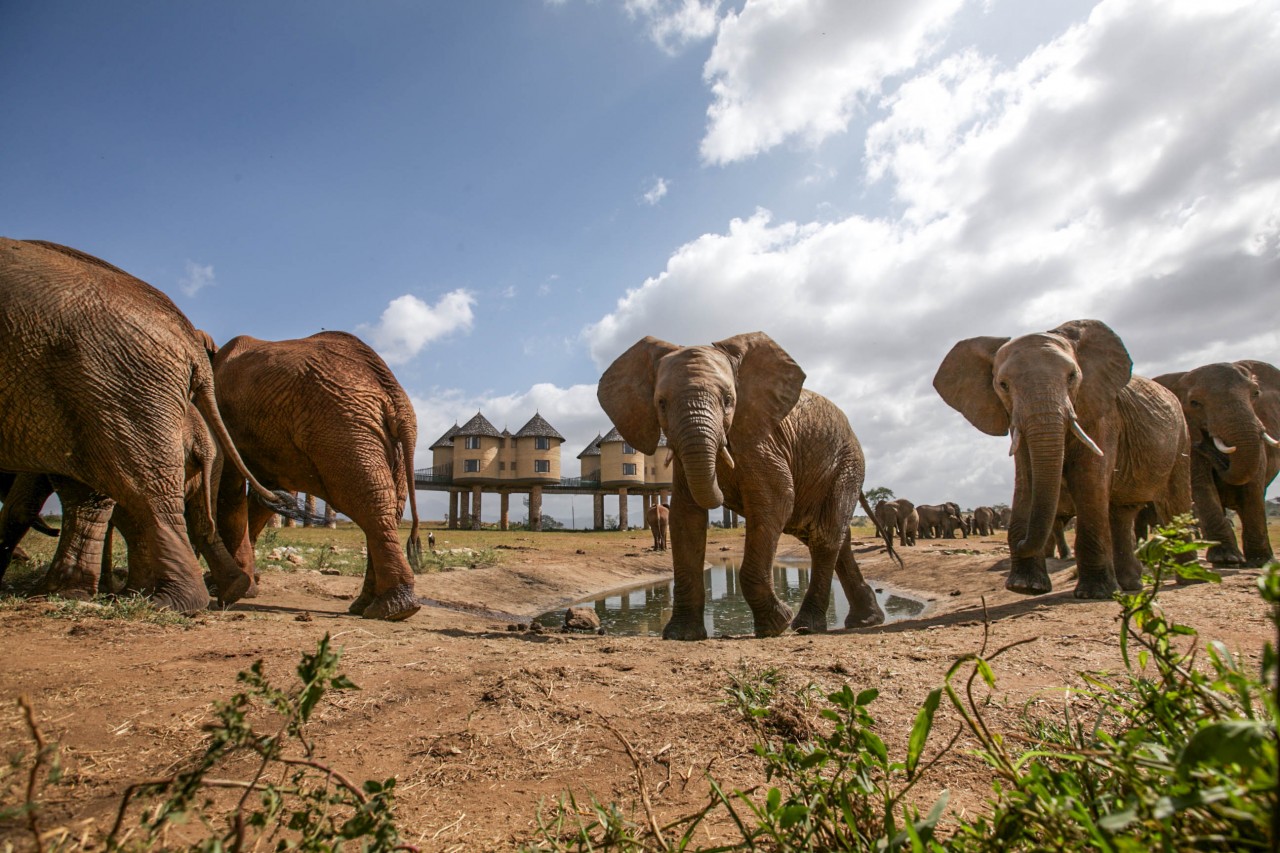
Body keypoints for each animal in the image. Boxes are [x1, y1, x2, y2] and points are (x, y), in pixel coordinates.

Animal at [212, 330, 422, 617]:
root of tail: (396, 395)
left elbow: (231, 487)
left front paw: (228, 587)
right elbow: (266, 494)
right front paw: (242, 584)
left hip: (341, 425)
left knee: (370, 503)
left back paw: (390, 609)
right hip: (370, 434)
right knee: (386, 507)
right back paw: (376, 607)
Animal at [601, 333, 890, 637]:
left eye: (728, 400)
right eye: (661, 403)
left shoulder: (763, 441)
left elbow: (775, 501)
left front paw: (776, 625)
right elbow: (685, 516)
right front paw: (681, 635)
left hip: (848, 464)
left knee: (825, 533)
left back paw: (806, 625)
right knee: (830, 536)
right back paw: (865, 620)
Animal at [936, 315, 1192, 594]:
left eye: (1072, 376)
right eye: (1003, 385)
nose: (1019, 541)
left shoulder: (1103, 414)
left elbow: (1089, 480)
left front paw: (1094, 593)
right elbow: (1027, 481)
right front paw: (1026, 587)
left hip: (1181, 437)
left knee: (1173, 503)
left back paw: (1187, 578)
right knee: (1121, 513)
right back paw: (1132, 585)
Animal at [1152, 358, 1280, 563]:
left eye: (1256, 393)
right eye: (1194, 403)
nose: (1204, 444)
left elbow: (1253, 485)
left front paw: (1262, 561)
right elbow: (1202, 485)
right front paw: (1227, 559)